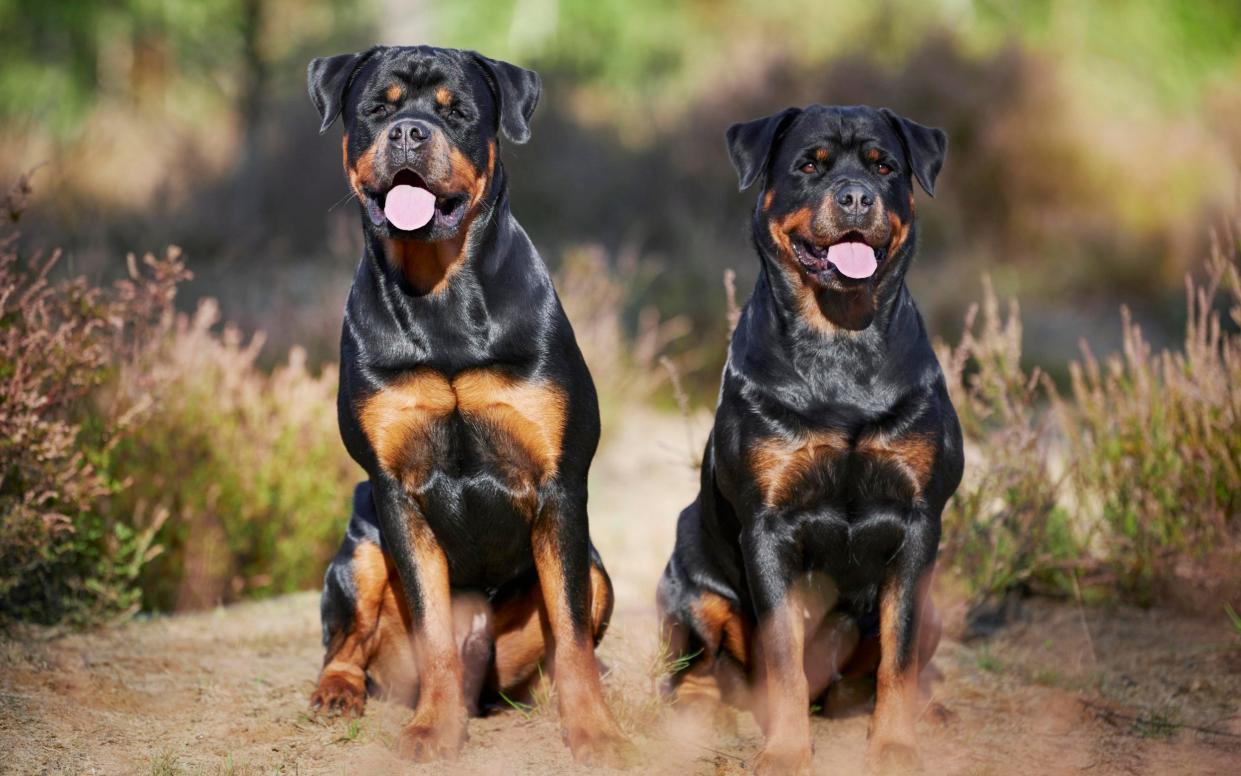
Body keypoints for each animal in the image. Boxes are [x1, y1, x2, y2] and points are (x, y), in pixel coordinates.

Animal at [304, 46, 625, 764]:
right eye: (379, 108)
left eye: (457, 113)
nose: (408, 133)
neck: (440, 292)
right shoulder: (394, 491)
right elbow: (433, 634)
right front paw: (431, 729)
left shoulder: (561, 485)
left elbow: (570, 633)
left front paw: (594, 730)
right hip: (359, 550)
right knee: (345, 640)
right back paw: (336, 691)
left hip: (598, 571)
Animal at [655, 106, 963, 769]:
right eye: (809, 165)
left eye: (884, 166)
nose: (856, 196)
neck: (840, 340)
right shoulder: (769, 525)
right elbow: (783, 655)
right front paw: (786, 752)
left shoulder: (919, 522)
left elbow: (898, 656)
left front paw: (894, 745)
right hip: (687, 580)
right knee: (696, 662)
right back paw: (697, 712)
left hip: (933, 606)